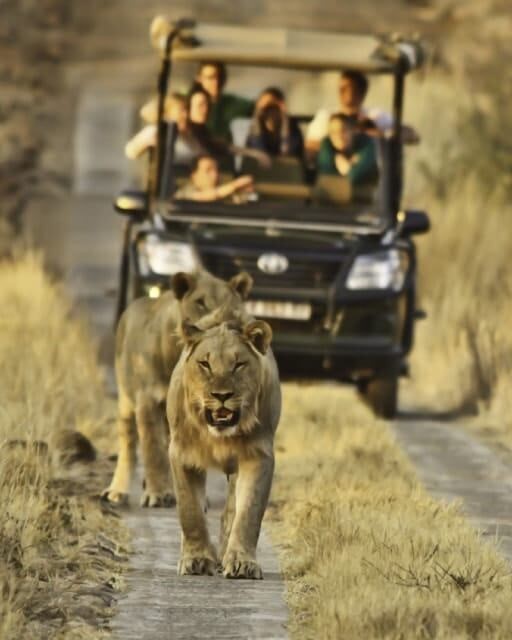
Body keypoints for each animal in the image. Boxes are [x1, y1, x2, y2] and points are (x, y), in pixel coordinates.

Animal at [101, 270, 253, 508]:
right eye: (200, 302)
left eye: (231, 303)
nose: (222, 322)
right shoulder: (147, 401)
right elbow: (152, 450)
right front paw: (157, 494)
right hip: (126, 399)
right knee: (129, 444)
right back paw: (117, 491)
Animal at [167, 317, 281, 579]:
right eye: (205, 364)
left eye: (238, 364)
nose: (221, 395)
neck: (220, 436)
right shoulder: (181, 453)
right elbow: (190, 512)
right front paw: (196, 559)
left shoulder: (258, 456)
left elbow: (248, 512)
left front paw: (243, 563)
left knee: (231, 511)